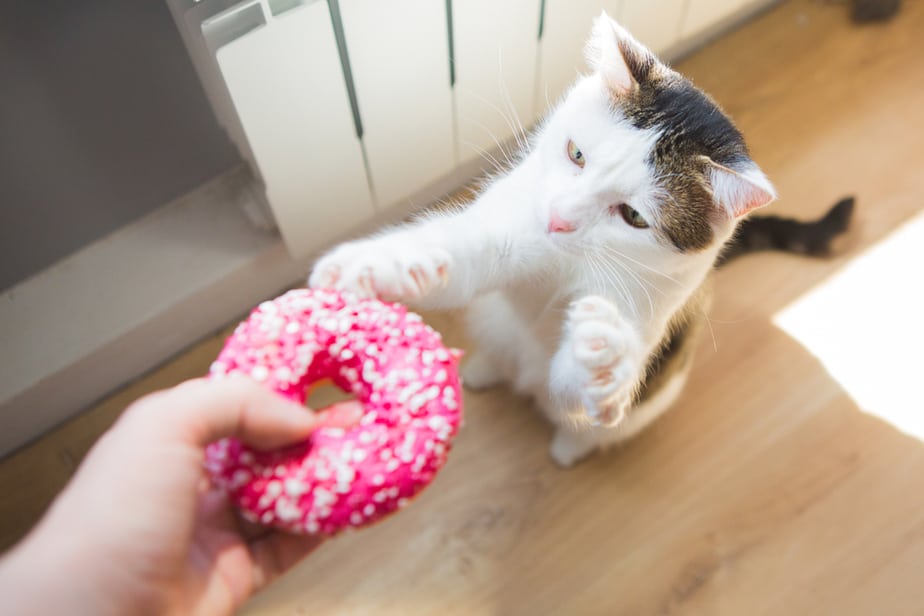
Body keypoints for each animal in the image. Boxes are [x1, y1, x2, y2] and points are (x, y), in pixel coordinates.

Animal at [306, 14, 856, 466]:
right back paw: (485, 369)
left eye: (634, 216)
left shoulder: (646, 307)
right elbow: (465, 260)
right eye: (576, 154)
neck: (565, 262)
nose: (558, 220)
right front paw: (385, 266)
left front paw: (602, 359)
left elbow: (579, 388)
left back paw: (568, 447)